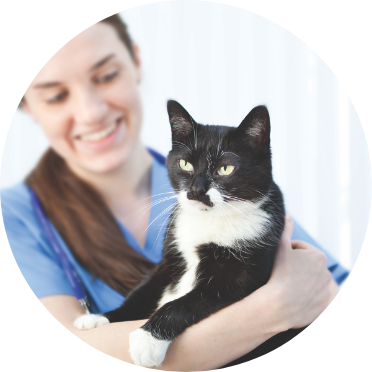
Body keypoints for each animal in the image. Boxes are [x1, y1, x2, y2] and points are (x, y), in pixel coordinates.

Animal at [74, 100, 286, 368]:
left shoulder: (240, 278)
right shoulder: (168, 260)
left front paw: (147, 340)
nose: (196, 190)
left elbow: (184, 302)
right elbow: (140, 293)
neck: (208, 220)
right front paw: (99, 318)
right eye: (185, 164)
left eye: (225, 168)